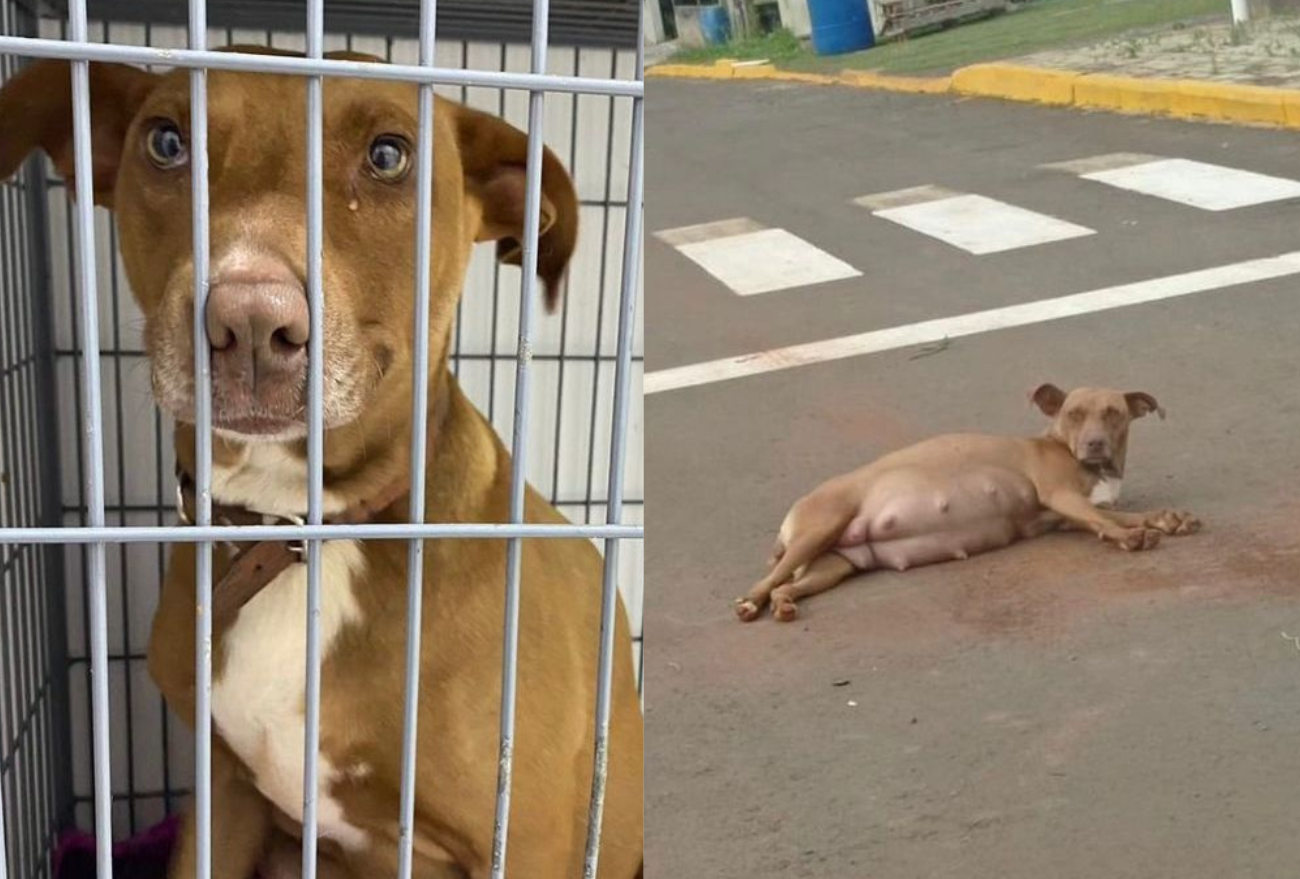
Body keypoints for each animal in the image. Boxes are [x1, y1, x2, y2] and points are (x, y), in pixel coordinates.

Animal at [0, 46, 644, 879]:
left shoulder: (521, 840)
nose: (248, 321)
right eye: (166, 142)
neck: (301, 530)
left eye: (389, 155)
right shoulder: (224, 799)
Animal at [738, 384, 1201, 624]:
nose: (1094, 444)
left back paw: (782, 603)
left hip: (834, 565)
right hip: (820, 528)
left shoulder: (1065, 516)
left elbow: (1120, 512)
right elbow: (1106, 520)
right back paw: (750, 603)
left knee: (785, 584)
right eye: (1073, 413)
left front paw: (1167, 518)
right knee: (765, 581)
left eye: (1113, 413)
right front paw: (1131, 536)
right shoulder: (1061, 497)